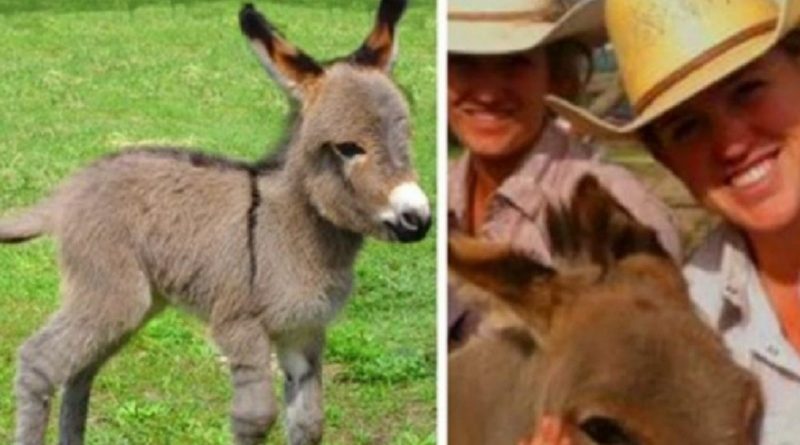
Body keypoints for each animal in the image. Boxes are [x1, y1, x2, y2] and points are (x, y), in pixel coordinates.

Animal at [0, 1, 428, 442]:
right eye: (347, 148)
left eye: (407, 137)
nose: (418, 220)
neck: (294, 228)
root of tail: (69, 189)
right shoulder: (239, 325)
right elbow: (256, 416)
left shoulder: (304, 332)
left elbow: (309, 422)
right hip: (110, 292)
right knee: (39, 361)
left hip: (136, 303)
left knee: (81, 371)